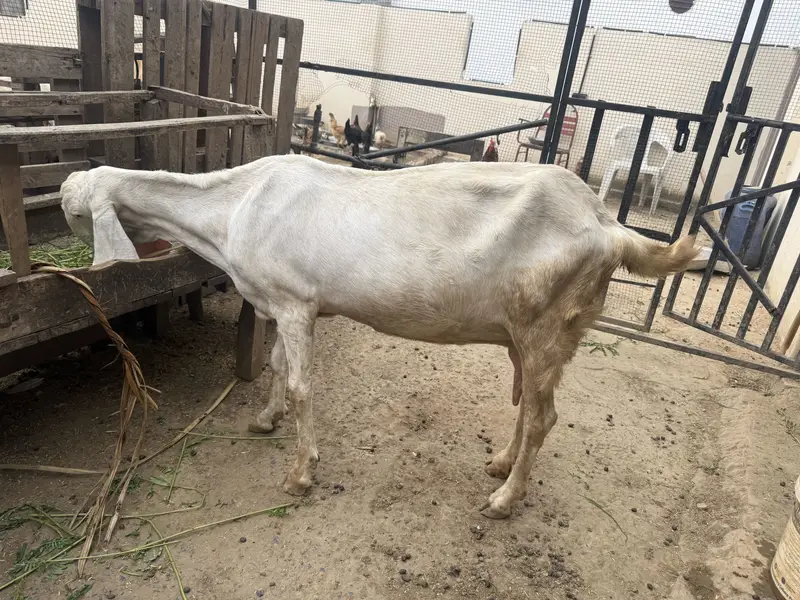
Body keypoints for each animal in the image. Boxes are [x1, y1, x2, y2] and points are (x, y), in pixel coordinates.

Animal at [60, 155, 697, 519]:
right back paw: (499, 465)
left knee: (543, 417)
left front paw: (300, 474)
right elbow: (274, 366)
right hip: (539, 332)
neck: (234, 205)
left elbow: (302, 387)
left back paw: (503, 501)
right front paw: (264, 420)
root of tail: (607, 224)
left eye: (70, 211)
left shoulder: (297, 303)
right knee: (531, 410)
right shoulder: (279, 303)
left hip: (546, 321)